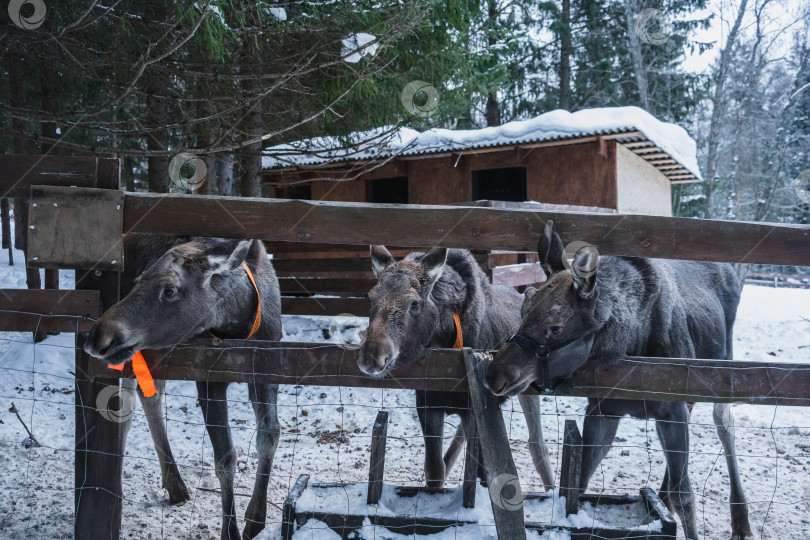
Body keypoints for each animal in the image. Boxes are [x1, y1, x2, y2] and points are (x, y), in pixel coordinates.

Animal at [83, 235, 280, 540]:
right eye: (139, 280)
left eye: (169, 290)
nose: (97, 336)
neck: (239, 326)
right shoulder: (209, 378)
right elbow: (225, 457)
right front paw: (230, 531)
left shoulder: (267, 371)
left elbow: (269, 436)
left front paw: (256, 521)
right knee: (127, 404)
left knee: (148, 396)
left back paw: (174, 484)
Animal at [482, 221, 748, 540]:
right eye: (523, 310)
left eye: (555, 328)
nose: (494, 375)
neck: (630, 342)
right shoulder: (603, 410)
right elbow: (579, 483)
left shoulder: (671, 410)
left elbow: (686, 495)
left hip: (722, 371)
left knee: (725, 423)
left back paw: (741, 521)